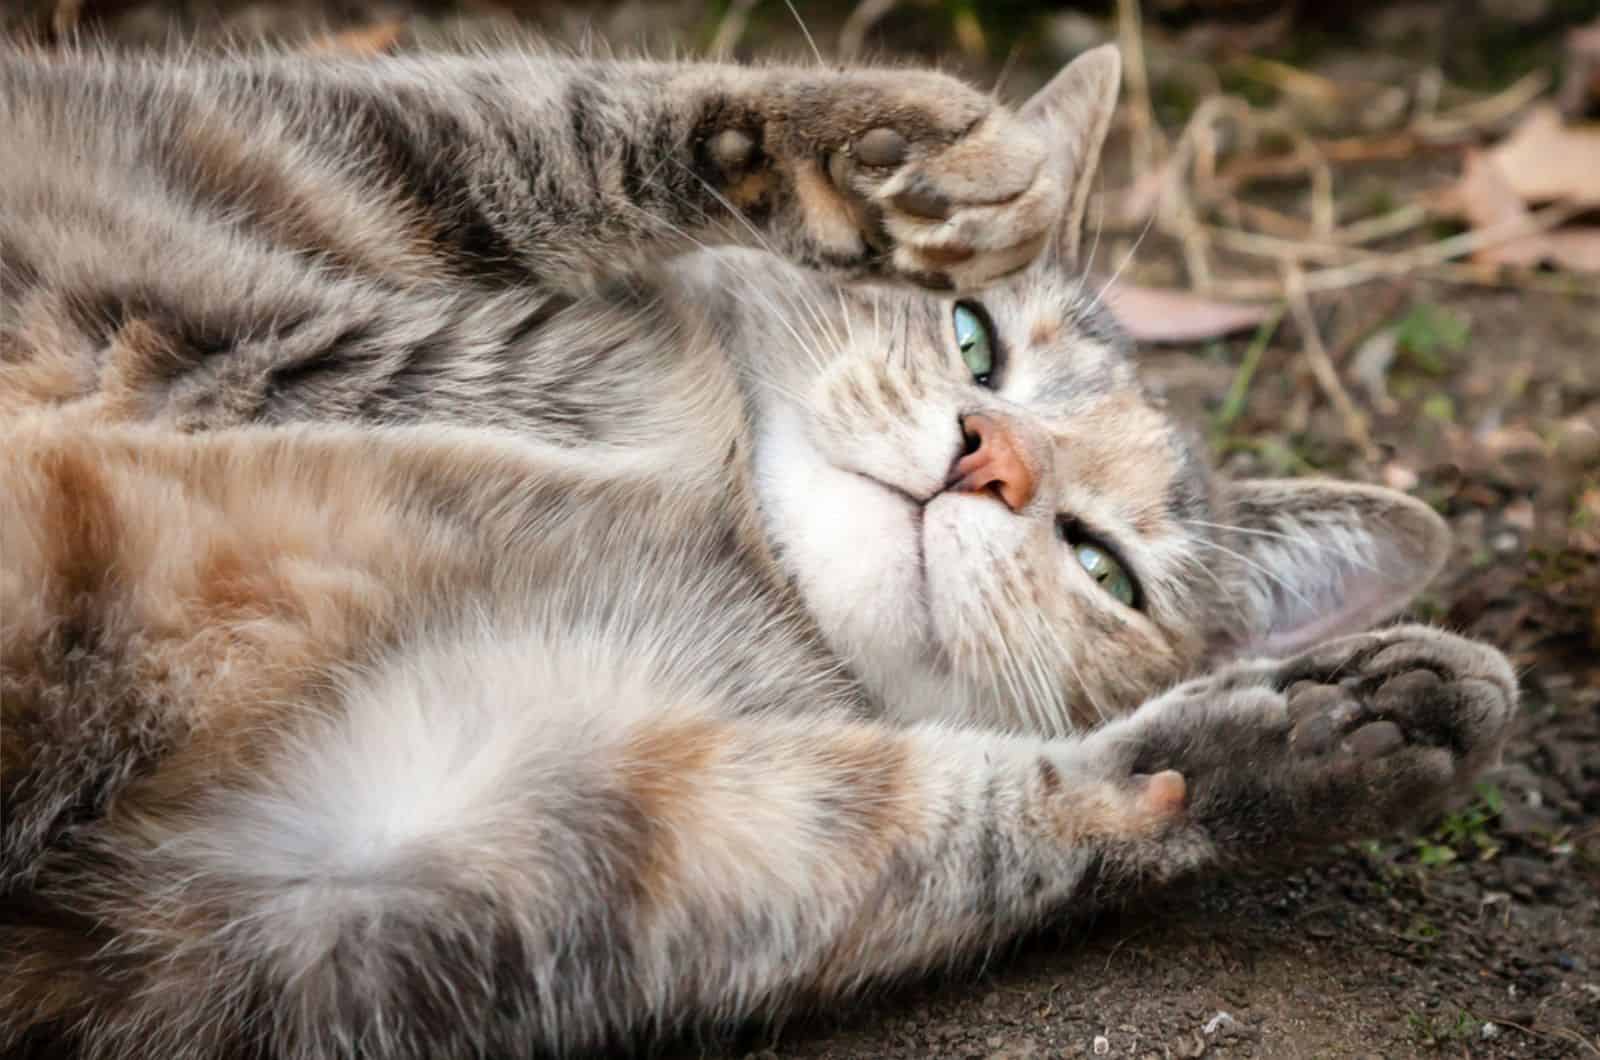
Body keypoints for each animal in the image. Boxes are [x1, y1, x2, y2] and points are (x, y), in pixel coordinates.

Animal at [0, 41, 1516, 1060]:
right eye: (975, 338)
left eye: (1103, 568)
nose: (992, 458)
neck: (726, 507)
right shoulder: (216, 145)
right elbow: (539, 116)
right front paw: (892, 152)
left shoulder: (408, 874)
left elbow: (960, 824)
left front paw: (1321, 734)